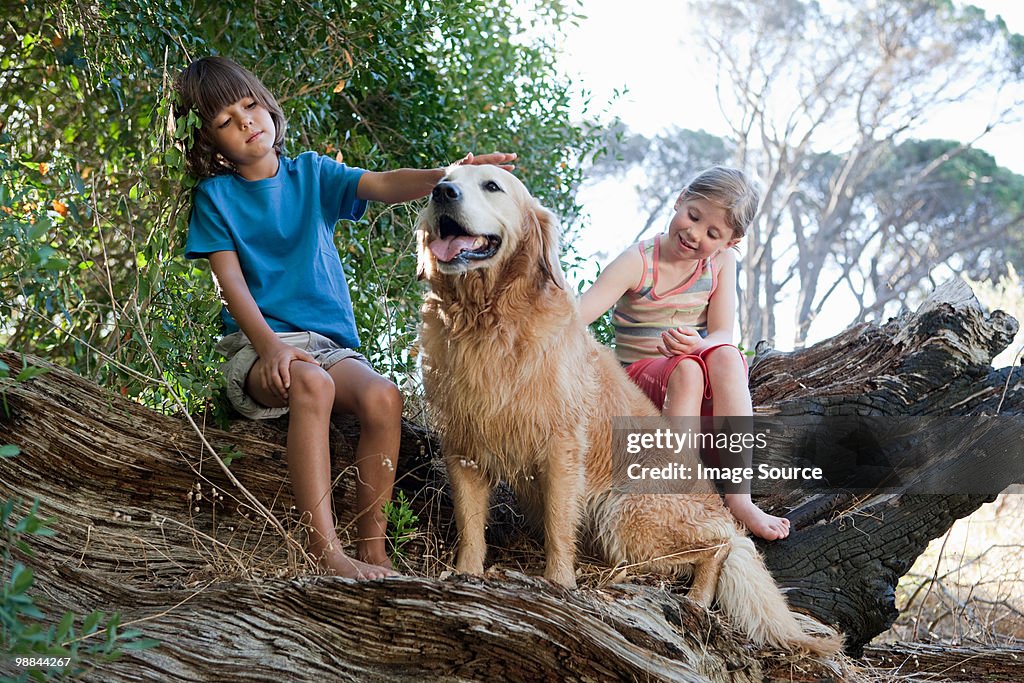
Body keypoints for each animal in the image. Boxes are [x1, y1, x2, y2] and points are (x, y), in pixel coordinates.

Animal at [413, 165, 839, 655]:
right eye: (447, 177)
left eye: (491, 186)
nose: (441, 192)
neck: (488, 321)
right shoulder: (462, 444)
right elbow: (470, 523)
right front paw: (465, 574)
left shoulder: (562, 448)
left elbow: (558, 524)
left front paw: (558, 584)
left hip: (626, 512)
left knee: (718, 546)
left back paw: (693, 592)